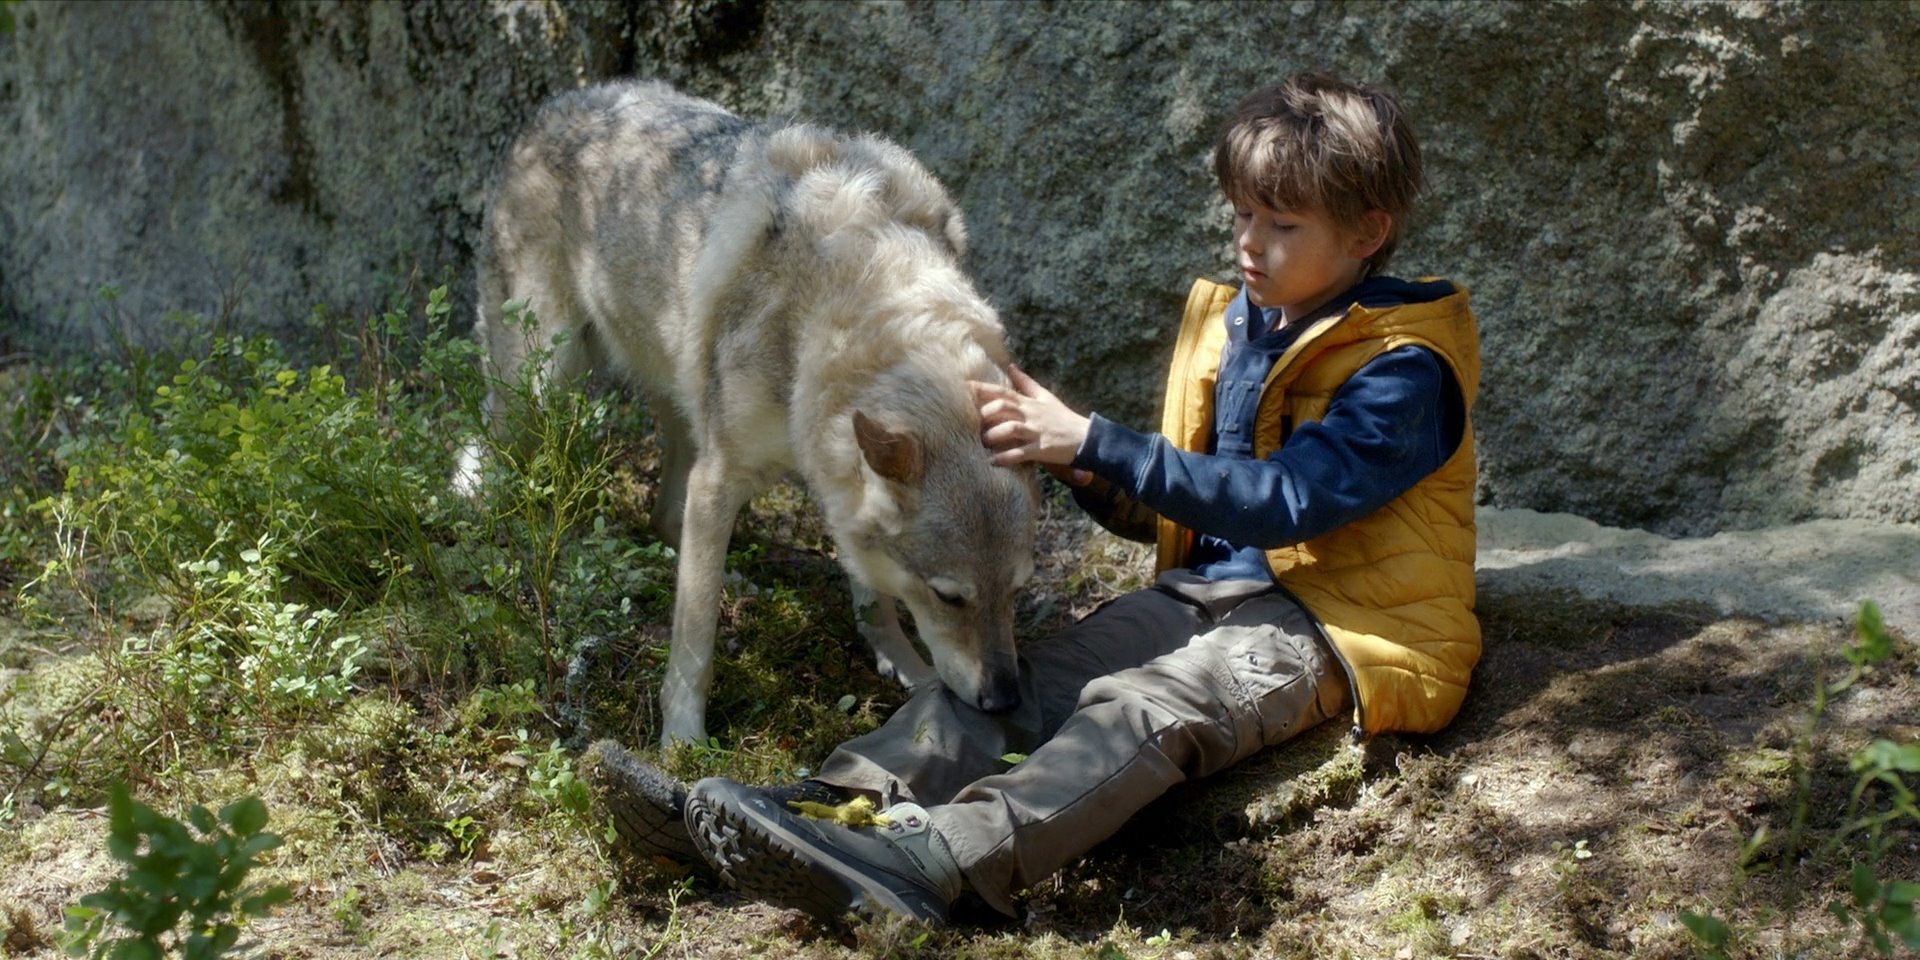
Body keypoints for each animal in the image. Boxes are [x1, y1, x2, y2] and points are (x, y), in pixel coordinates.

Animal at [458, 81, 1037, 747]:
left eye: (1017, 591)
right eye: (950, 597)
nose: (1004, 700)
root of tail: (554, 104)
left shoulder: (830, 475)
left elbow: (873, 596)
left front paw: (905, 669)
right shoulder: (723, 476)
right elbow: (695, 640)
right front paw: (683, 741)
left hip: (679, 403)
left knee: (666, 518)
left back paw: (736, 578)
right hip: (545, 383)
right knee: (493, 460)